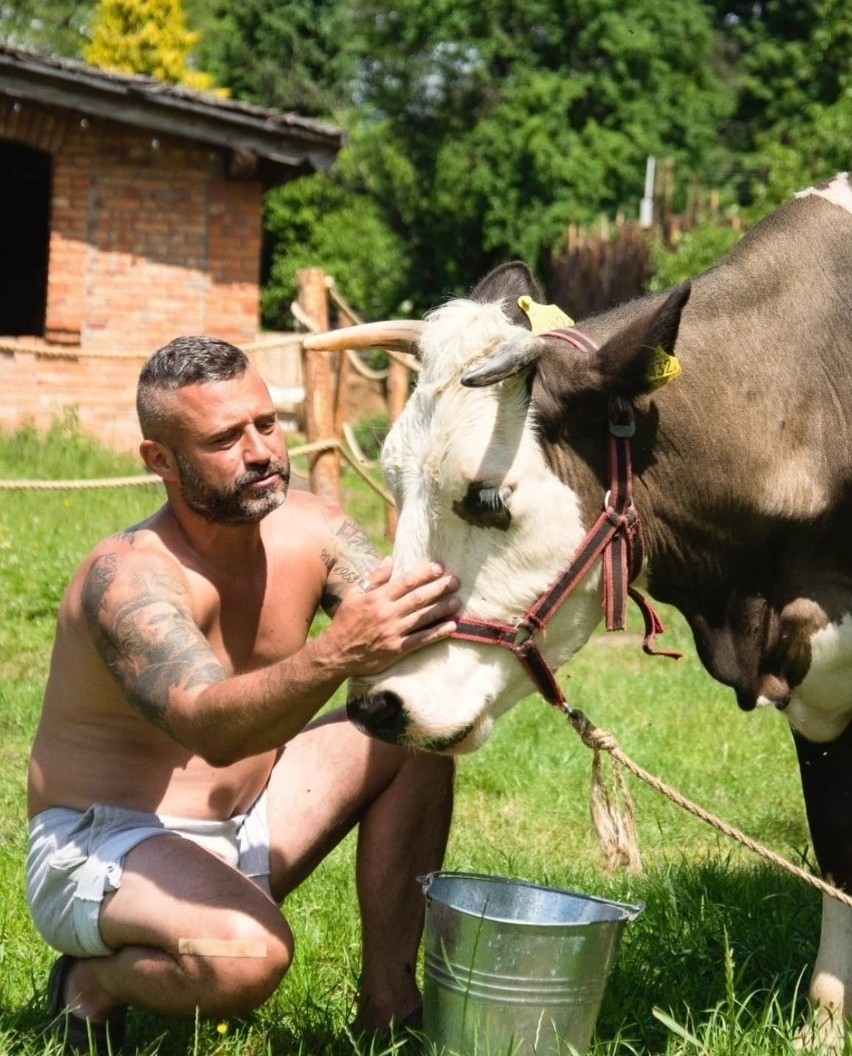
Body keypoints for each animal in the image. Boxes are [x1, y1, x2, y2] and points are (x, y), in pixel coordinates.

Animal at [310, 171, 852, 1039]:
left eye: (487, 497)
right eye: (392, 480)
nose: (377, 704)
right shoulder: (816, 689)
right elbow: (836, 849)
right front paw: (827, 1024)